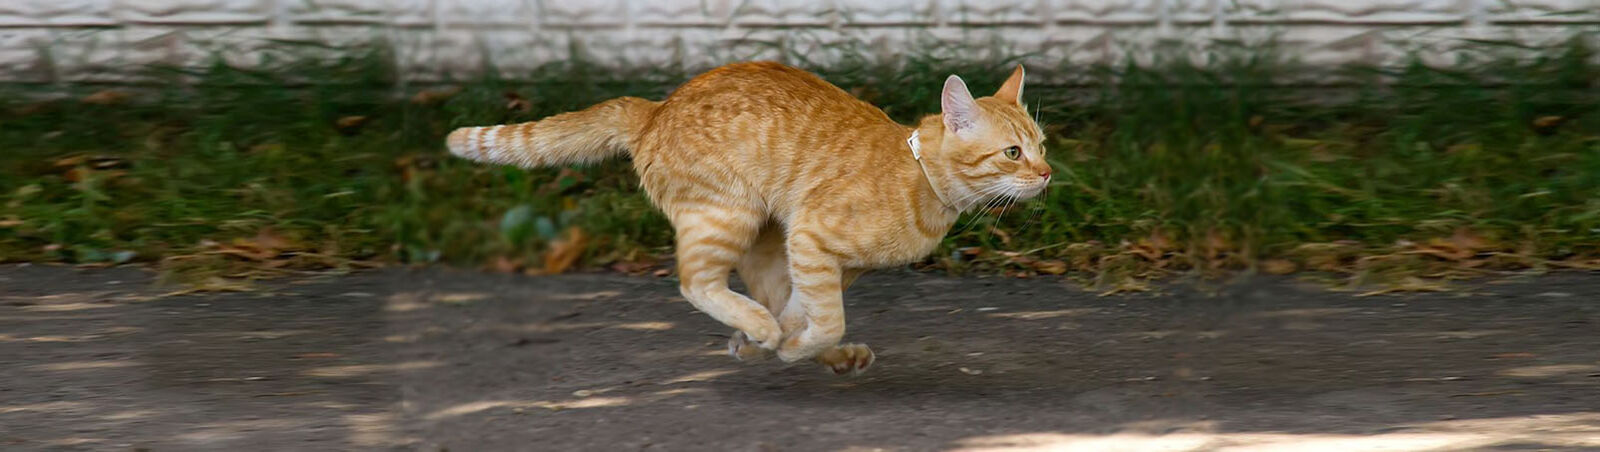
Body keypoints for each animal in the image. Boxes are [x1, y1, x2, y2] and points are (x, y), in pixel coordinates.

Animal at [451, 61, 1049, 376]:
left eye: (1041, 146)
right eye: (1012, 153)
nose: (1047, 174)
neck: (920, 177)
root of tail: (657, 107)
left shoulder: (826, 263)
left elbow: (804, 311)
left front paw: (782, 344)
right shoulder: (811, 237)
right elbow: (823, 319)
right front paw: (787, 346)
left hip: (765, 239)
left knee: (764, 297)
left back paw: (786, 344)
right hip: (727, 216)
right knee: (696, 281)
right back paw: (763, 332)